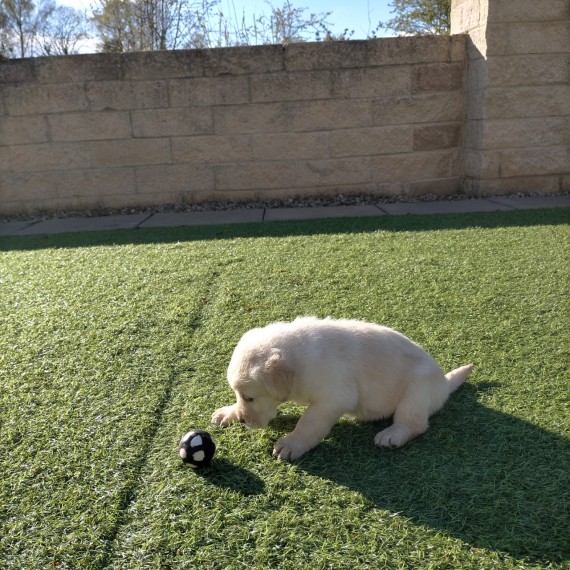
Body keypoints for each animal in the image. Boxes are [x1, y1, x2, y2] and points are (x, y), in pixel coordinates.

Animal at [209, 318, 470, 460]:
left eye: (250, 398)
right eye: (240, 396)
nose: (244, 420)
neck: (300, 360)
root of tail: (444, 383)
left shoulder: (333, 399)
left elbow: (309, 422)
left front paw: (292, 443)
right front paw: (229, 412)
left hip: (417, 390)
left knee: (414, 423)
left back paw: (392, 435)